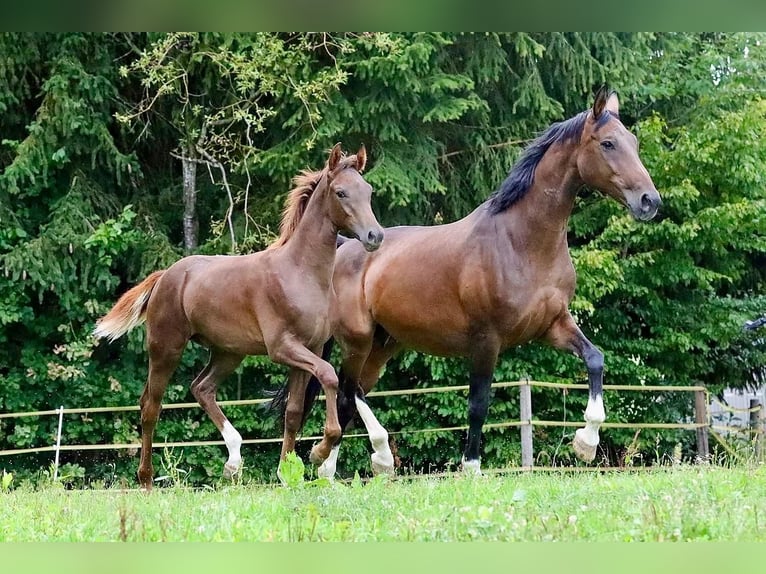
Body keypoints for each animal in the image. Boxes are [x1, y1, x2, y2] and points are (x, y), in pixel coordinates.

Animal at [93, 143, 384, 489]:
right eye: (341, 192)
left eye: (368, 191)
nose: (375, 235)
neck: (300, 273)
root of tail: (166, 276)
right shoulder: (283, 348)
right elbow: (329, 375)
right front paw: (319, 451)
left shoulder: (308, 349)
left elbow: (293, 412)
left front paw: (286, 472)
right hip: (166, 349)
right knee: (151, 406)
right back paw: (147, 480)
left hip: (228, 352)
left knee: (201, 388)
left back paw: (233, 461)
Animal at [281, 87, 662, 478]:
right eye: (608, 143)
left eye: (633, 142)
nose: (650, 201)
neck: (521, 243)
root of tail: (345, 247)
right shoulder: (486, 340)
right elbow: (478, 403)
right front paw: (472, 467)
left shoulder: (553, 325)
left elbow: (595, 358)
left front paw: (586, 443)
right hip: (357, 340)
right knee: (346, 391)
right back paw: (344, 462)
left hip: (384, 344)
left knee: (352, 393)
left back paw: (353, 465)